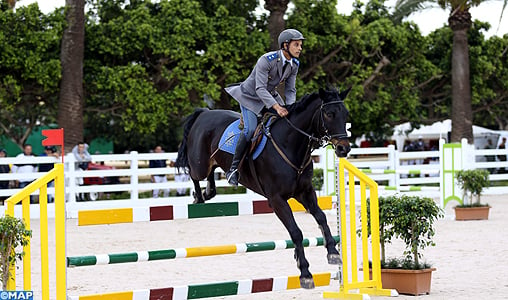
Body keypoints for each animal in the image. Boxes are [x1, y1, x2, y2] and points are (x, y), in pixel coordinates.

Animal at [177, 87, 352, 288]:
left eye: (345, 114)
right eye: (329, 114)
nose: (344, 149)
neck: (291, 145)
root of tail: (204, 113)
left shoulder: (305, 192)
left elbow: (321, 217)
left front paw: (333, 253)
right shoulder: (277, 200)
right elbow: (296, 232)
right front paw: (305, 273)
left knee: (211, 179)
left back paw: (208, 192)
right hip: (200, 165)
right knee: (193, 173)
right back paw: (199, 196)